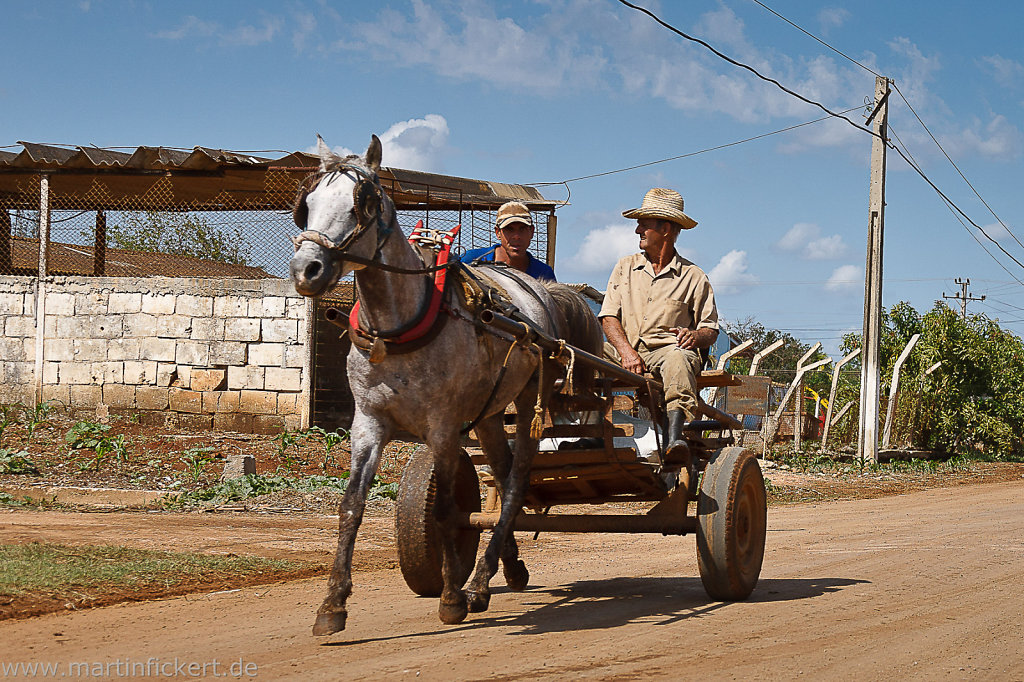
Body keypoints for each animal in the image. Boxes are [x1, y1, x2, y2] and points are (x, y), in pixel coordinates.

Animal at [288, 135, 602, 634]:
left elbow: (446, 510)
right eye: (308, 205)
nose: (307, 269)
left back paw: (477, 583)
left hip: (527, 400)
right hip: (490, 414)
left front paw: (452, 597)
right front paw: (332, 605)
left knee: (516, 480)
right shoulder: (368, 423)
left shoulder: (443, 426)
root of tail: (539, 291)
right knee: (500, 472)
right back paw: (503, 569)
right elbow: (351, 506)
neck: (400, 328)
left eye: (362, 204)